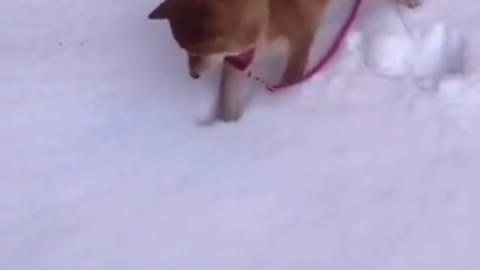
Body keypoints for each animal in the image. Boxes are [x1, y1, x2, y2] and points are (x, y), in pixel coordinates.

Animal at [148, 0, 422, 121]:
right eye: (183, 49)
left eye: (197, 52)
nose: (193, 75)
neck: (267, 11)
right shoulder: (239, 59)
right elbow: (228, 94)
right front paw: (227, 124)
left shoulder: (301, 39)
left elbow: (291, 79)